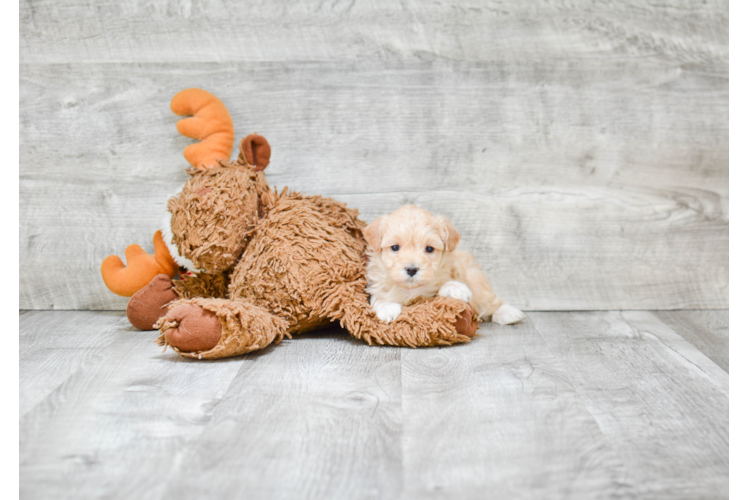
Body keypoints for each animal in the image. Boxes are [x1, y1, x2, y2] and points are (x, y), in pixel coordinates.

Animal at [366, 205, 524, 326]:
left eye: (429, 249)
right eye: (395, 247)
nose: (411, 269)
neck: (412, 290)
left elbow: (447, 284)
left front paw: (455, 288)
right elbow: (378, 297)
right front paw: (386, 307)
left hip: (475, 278)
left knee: (488, 301)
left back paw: (507, 313)